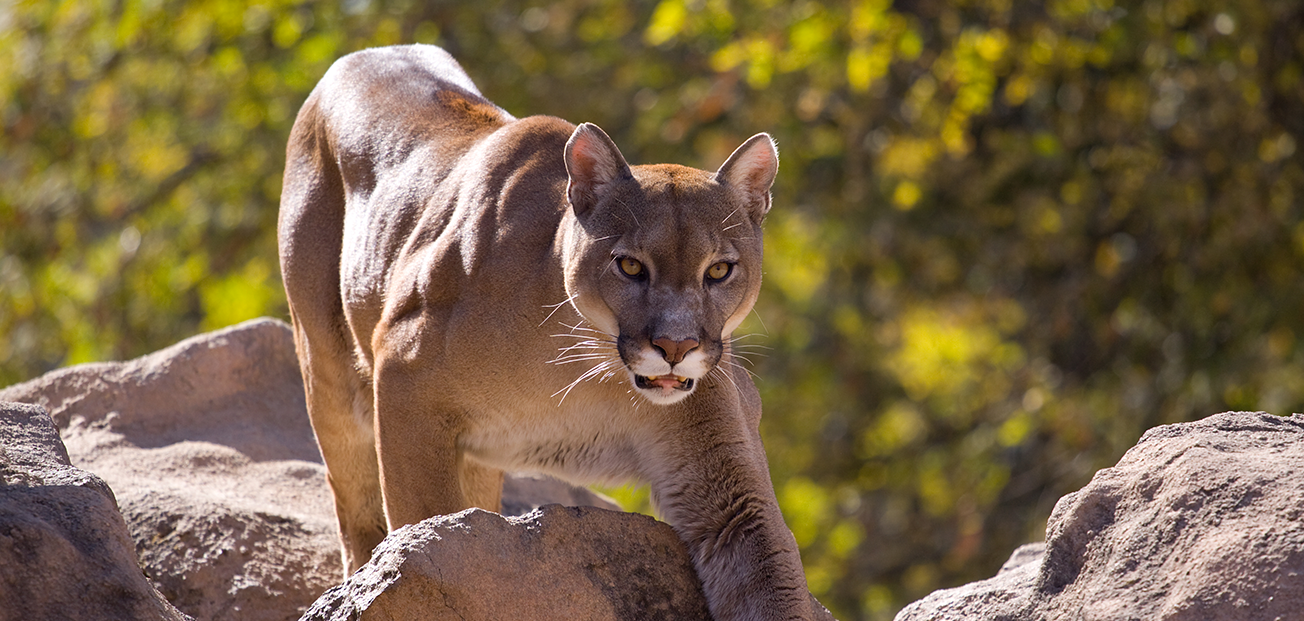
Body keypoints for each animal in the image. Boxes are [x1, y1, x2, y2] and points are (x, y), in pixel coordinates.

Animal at [279, 45, 813, 618]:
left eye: (719, 270)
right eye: (630, 266)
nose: (677, 346)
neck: (587, 366)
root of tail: (370, 51)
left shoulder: (730, 483)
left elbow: (766, 570)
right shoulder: (403, 377)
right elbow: (419, 526)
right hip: (330, 378)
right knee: (356, 510)